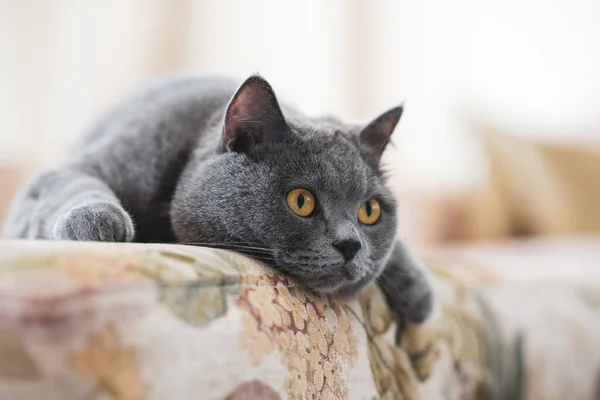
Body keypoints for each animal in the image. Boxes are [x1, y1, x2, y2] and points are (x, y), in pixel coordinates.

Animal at [3, 74, 436, 324]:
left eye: (370, 211)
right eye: (301, 201)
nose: (351, 245)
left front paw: (417, 289)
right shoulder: (80, 167)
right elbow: (71, 185)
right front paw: (99, 222)